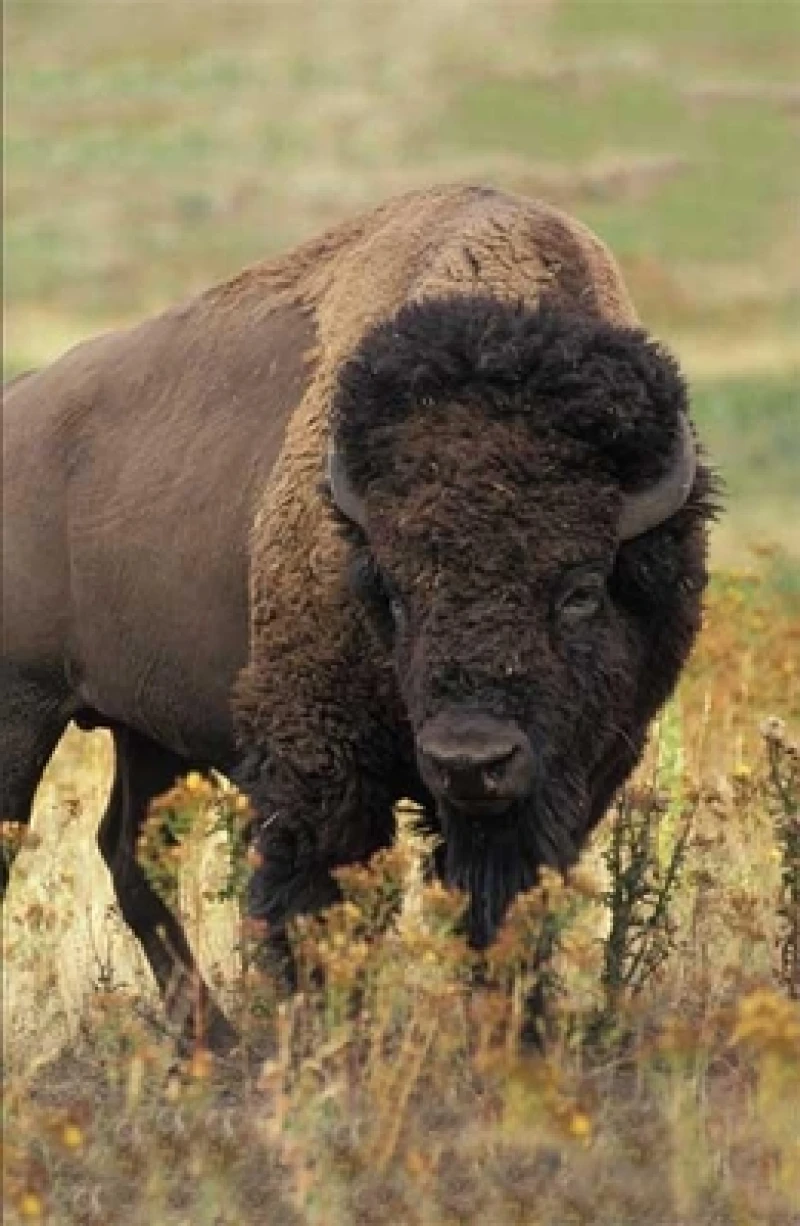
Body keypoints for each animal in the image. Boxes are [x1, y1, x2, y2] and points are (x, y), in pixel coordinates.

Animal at [1, 185, 716, 1047]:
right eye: (396, 592)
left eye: (580, 588)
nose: (469, 760)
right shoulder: (321, 760)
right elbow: (319, 899)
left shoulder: (578, 767)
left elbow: (506, 904)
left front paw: (517, 1036)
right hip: (21, 710)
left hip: (146, 730)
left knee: (132, 855)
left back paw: (213, 1038)